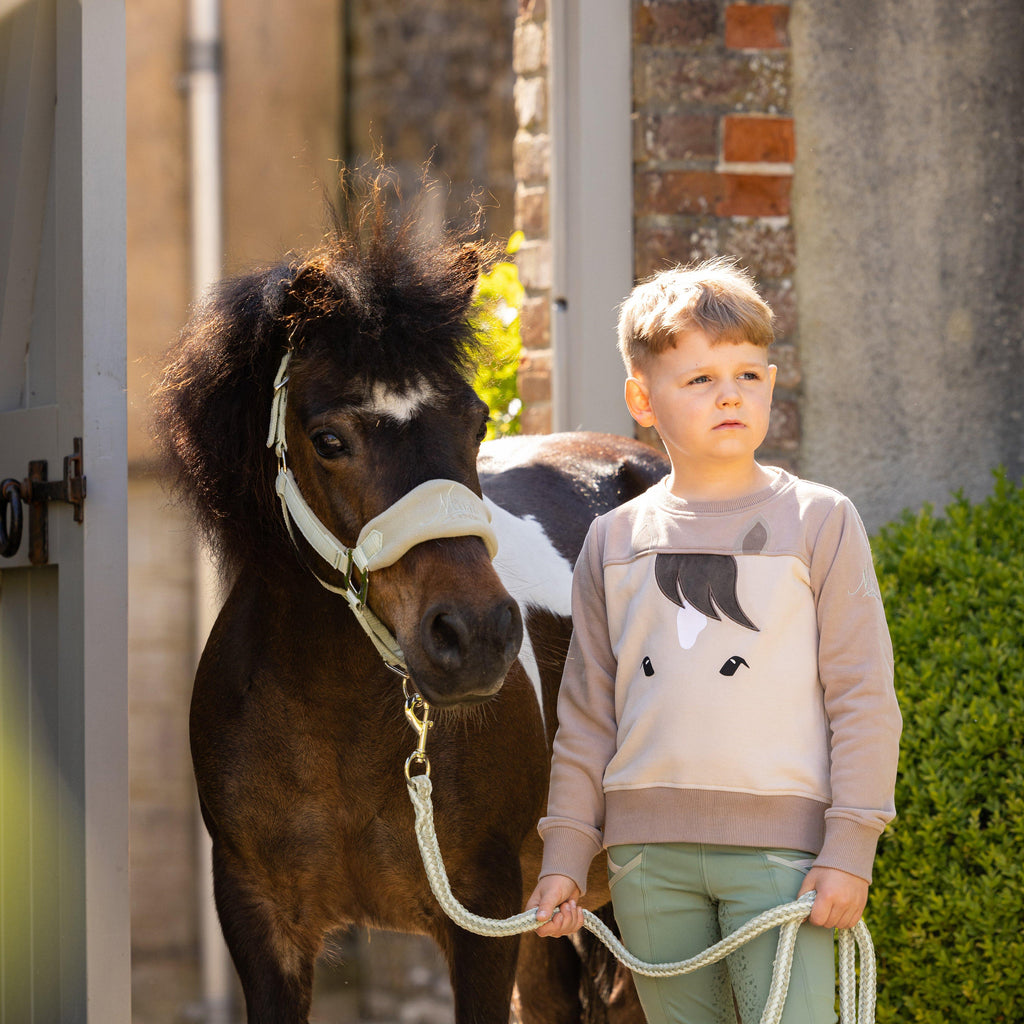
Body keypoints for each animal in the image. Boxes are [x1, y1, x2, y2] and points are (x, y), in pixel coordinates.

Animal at [154, 177, 668, 1024]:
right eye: (329, 439)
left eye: (477, 420)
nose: (478, 634)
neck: (330, 720)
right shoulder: (260, 925)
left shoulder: (482, 917)